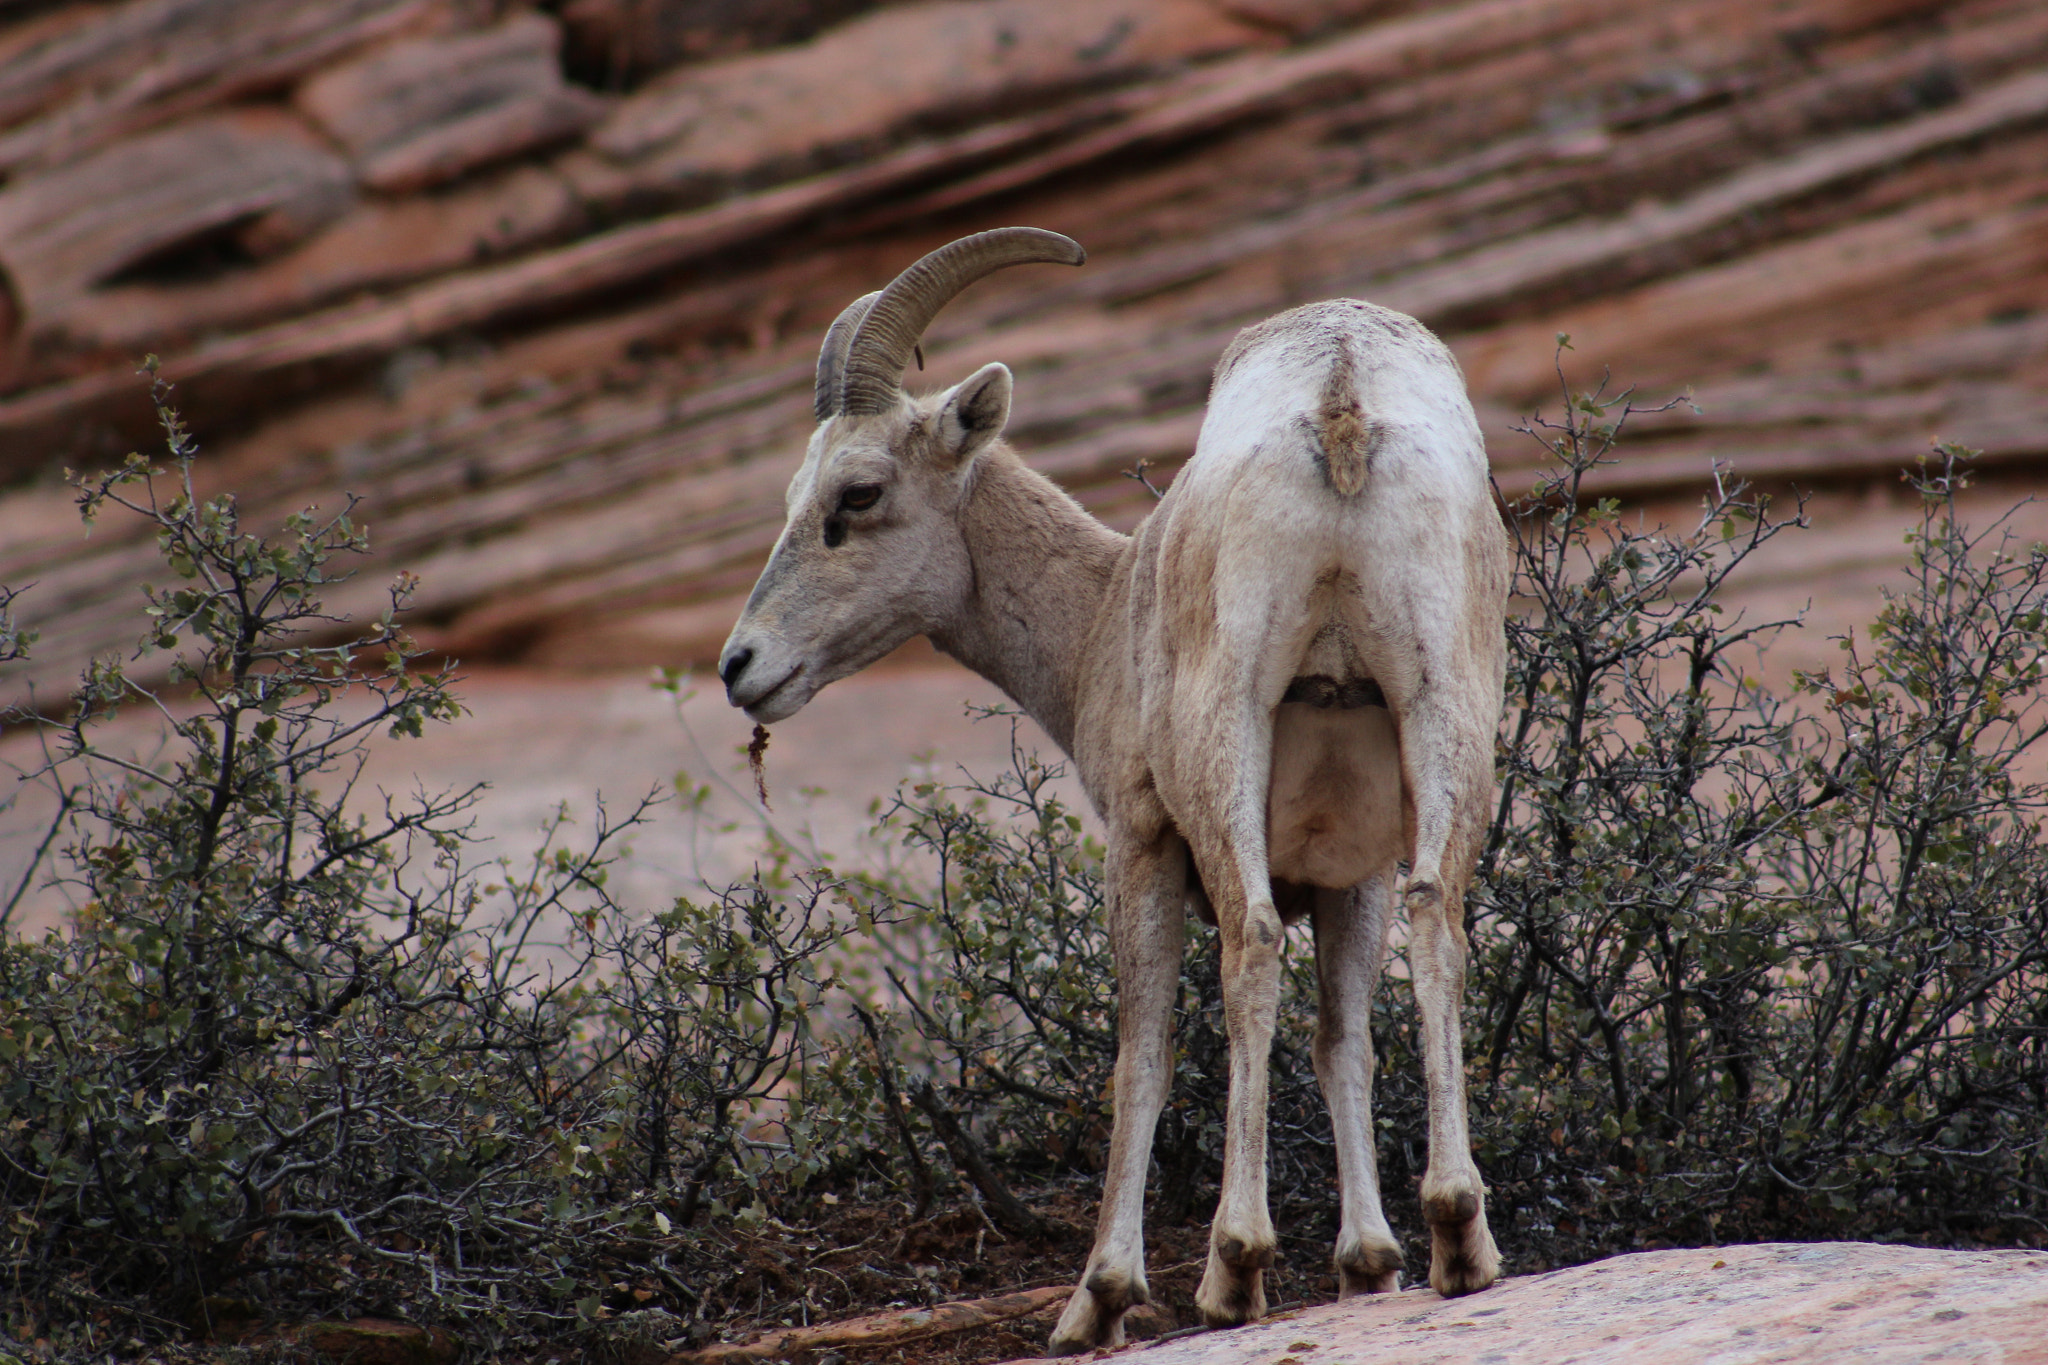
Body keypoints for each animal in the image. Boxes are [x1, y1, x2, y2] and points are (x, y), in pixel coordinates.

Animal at [716, 229, 1507, 1350]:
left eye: (857, 494)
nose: (741, 667)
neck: (1099, 612)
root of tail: (1340, 404)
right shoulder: (1348, 874)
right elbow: (1341, 1041)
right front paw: (1369, 1264)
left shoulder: (1141, 841)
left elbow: (1142, 1051)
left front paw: (1098, 1298)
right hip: (1443, 709)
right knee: (1436, 913)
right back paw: (1458, 1235)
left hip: (1226, 737)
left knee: (1249, 945)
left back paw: (1232, 1268)